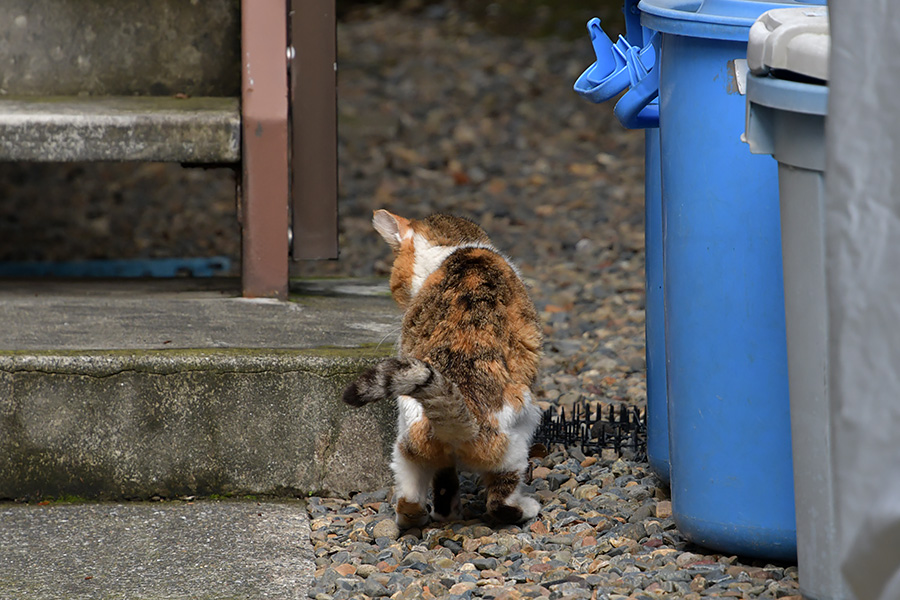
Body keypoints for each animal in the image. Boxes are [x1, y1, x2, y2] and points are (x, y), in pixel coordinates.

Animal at [342, 209, 540, 528]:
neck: (454, 249)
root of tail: (465, 417)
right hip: (522, 429)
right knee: (499, 502)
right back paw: (526, 508)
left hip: (407, 435)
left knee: (411, 495)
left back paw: (429, 515)